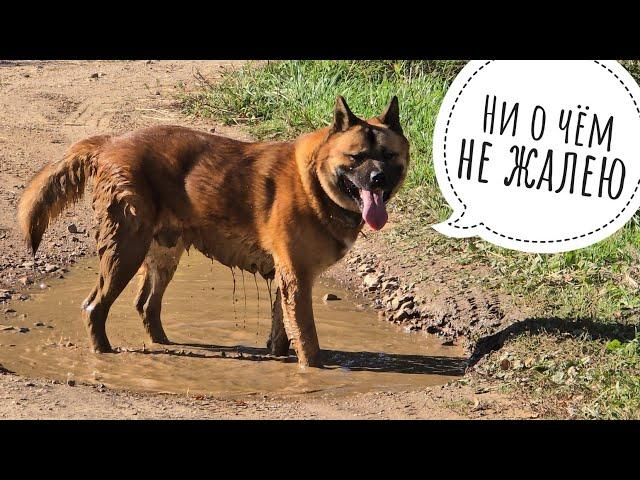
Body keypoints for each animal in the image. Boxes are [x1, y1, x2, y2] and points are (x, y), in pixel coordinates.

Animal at [20, 96, 412, 368]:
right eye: (357, 157)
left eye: (389, 156)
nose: (378, 178)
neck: (314, 181)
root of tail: (111, 142)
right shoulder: (297, 277)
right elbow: (307, 337)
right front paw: (313, 369)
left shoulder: (284, 278)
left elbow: (282, 331)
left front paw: (278, 356)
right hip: (125, 249)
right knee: (94, 307)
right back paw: (103, 350)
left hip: (163, 252)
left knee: (146, 304)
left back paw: (164, 342)